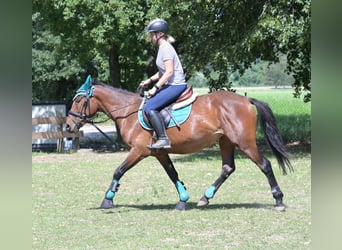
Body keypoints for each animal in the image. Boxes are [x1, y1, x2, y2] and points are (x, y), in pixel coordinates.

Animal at [66, 76, 292, 211]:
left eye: (77, 100)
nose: (68, 126)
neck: (127, 111)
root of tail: (246, 100)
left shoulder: (138, 151)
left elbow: (118, 171)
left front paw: (108, 199)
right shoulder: (159, 153)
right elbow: (172, 174)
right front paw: (183, 200)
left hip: (244, 142)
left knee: (265, 165)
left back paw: (279, 200)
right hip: (226, 141)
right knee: (228, 168)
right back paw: (205, 197)